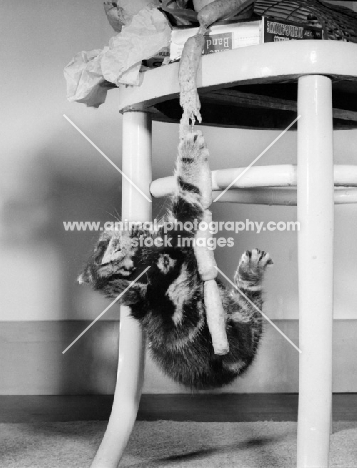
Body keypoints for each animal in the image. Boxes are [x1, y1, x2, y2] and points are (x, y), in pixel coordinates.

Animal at [79, 131, 272, 388]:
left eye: (100, 243)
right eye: (107, 243)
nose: (110, 227)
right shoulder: (175, 232)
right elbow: (187, 193)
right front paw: (190, 150)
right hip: (241, 320)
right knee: (251, 304)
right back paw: (251, 270)